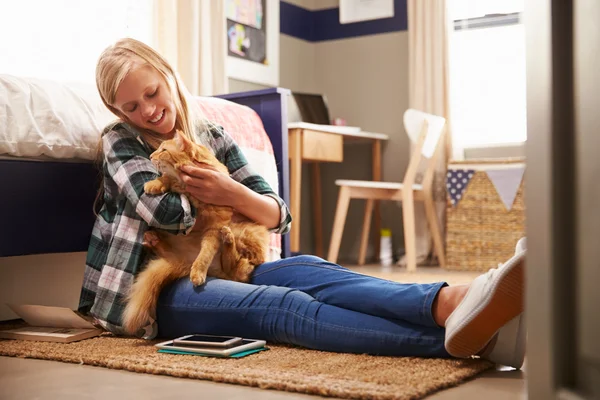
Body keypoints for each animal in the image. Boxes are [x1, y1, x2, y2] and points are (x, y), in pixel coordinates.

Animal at [122, 131, 270, 334]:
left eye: (163, 150)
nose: (151, 156)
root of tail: (184, 261)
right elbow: (167, 178)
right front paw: (154, 184)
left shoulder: (215, 226)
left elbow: (205, 254)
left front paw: (198, 272)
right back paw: (153, 239)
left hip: (243, 236)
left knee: (234, 268)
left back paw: (226, 239)